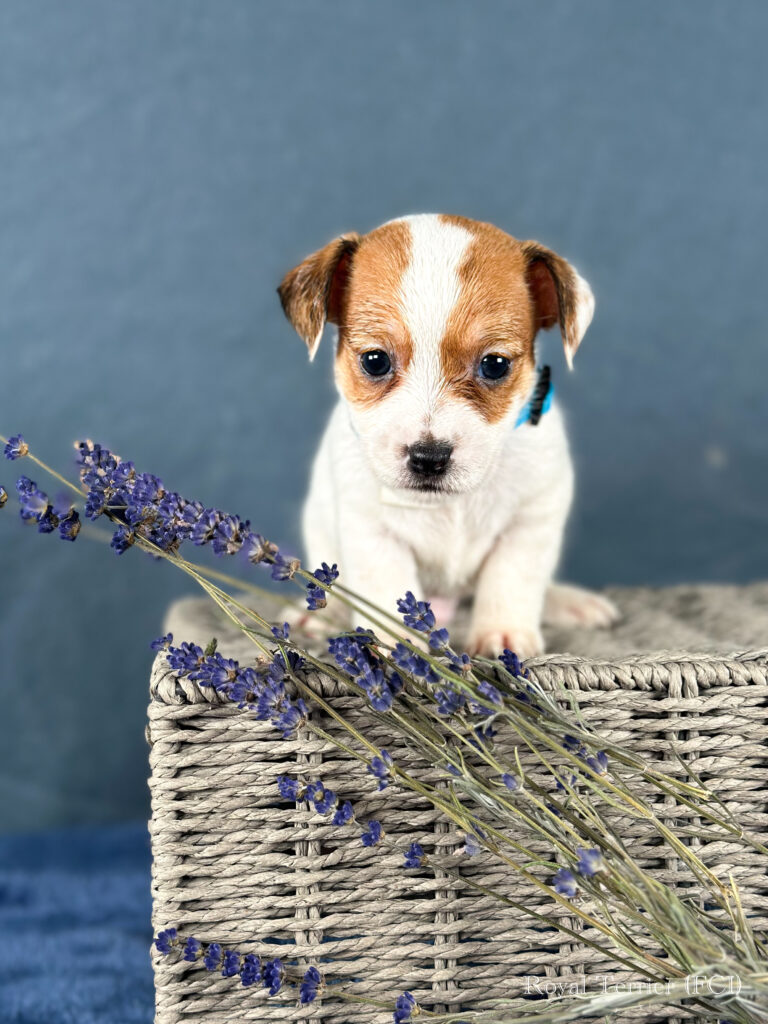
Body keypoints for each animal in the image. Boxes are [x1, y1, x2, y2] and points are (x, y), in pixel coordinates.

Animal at [276, 218, 618, 663]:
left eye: (494, 365)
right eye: (375, 361)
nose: (428, 457)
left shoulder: (530, 522)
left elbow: (512, 579)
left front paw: (504, 635)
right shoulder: (373, 534)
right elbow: (385, 589)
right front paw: (399, 647)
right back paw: (319, 613)